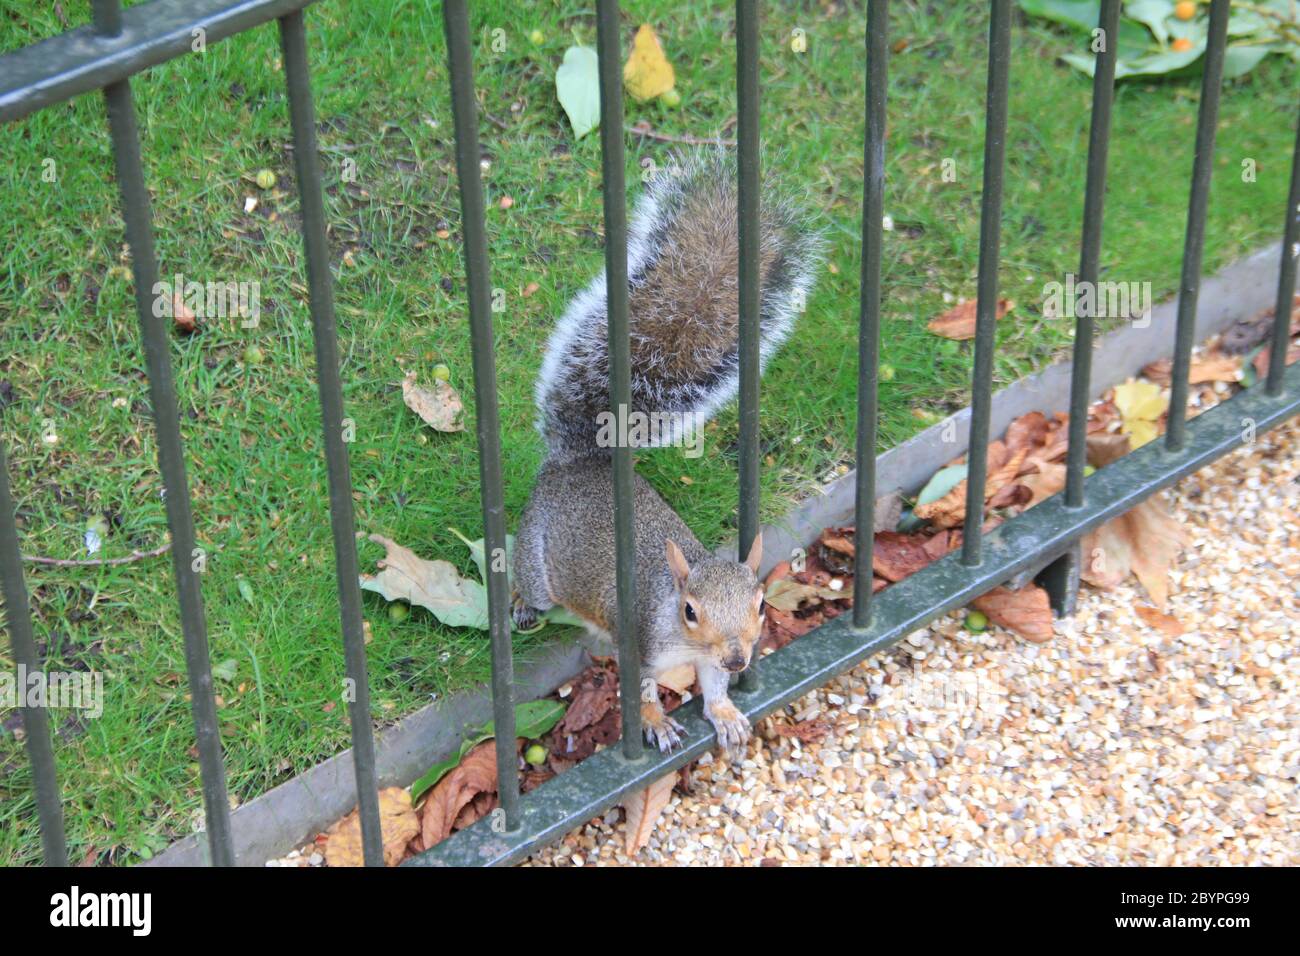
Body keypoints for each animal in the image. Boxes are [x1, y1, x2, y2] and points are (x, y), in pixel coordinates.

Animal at [512, 151, 816, 754]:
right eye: (690, 611)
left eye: (761, 604)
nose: (739, 655)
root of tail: (577, 461)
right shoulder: (639, 645)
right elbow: (642, 693)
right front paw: (655, 723)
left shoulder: (713, 661)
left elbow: (714, 686)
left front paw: (724, 712)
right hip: (537, 555)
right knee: (525, 577)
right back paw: (520, 605)